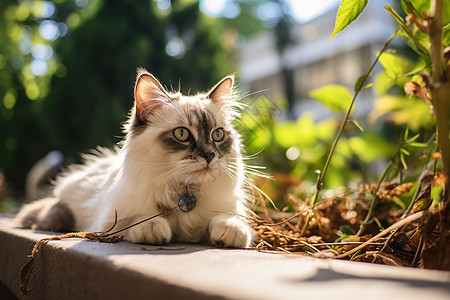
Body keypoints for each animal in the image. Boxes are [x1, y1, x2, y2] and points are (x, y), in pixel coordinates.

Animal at [15, 68, 255, 248]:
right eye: (182, 134)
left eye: (218, 135)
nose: (209, 155)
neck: (185, 192)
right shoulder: (110, 221)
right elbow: (138, 220)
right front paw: (156, 228)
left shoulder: (224, 210)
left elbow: (226, 221)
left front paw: (232, 231)